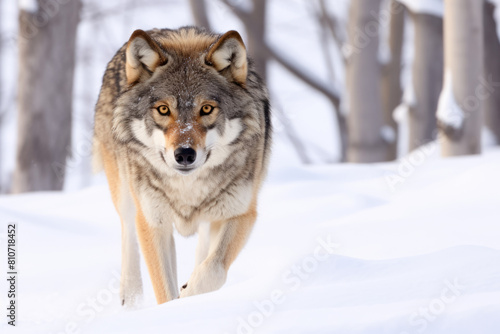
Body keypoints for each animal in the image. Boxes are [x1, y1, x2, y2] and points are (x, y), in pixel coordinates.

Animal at [93, 26, 274, 306]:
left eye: (206, 109)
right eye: (163, 109)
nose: (185, 154)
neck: (187, 188)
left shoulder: (241, 213)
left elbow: (213, 269)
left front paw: (188, 295)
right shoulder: (154, 222)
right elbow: (164, 290)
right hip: (124, 193)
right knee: (128, 231)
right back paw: (131, 299)